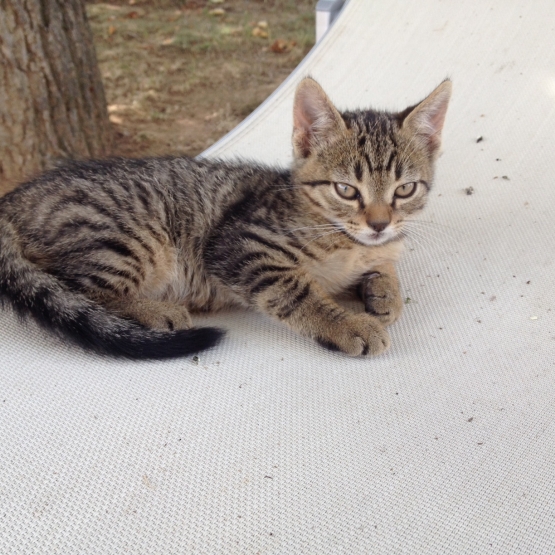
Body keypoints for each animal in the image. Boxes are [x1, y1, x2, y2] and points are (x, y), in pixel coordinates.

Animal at [0, 78, 452, 360]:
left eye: (404, 190)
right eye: (346, 190)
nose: (379, 224)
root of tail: (19, 194)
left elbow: (385, 265)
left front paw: (385, 292)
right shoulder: (239, 243)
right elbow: (295, 290)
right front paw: (349, 324)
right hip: (127, 239)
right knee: (72, 288)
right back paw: (151, 311)